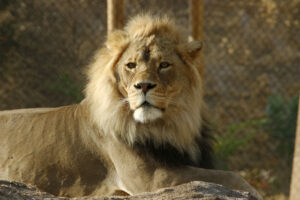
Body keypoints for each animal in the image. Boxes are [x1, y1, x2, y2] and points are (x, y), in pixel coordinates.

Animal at [0, 13, 262, 198]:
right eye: (131, 65)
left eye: (164, 65)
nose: (143, 85)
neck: (172, 126)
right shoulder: (152, 178)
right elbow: (229, 176)